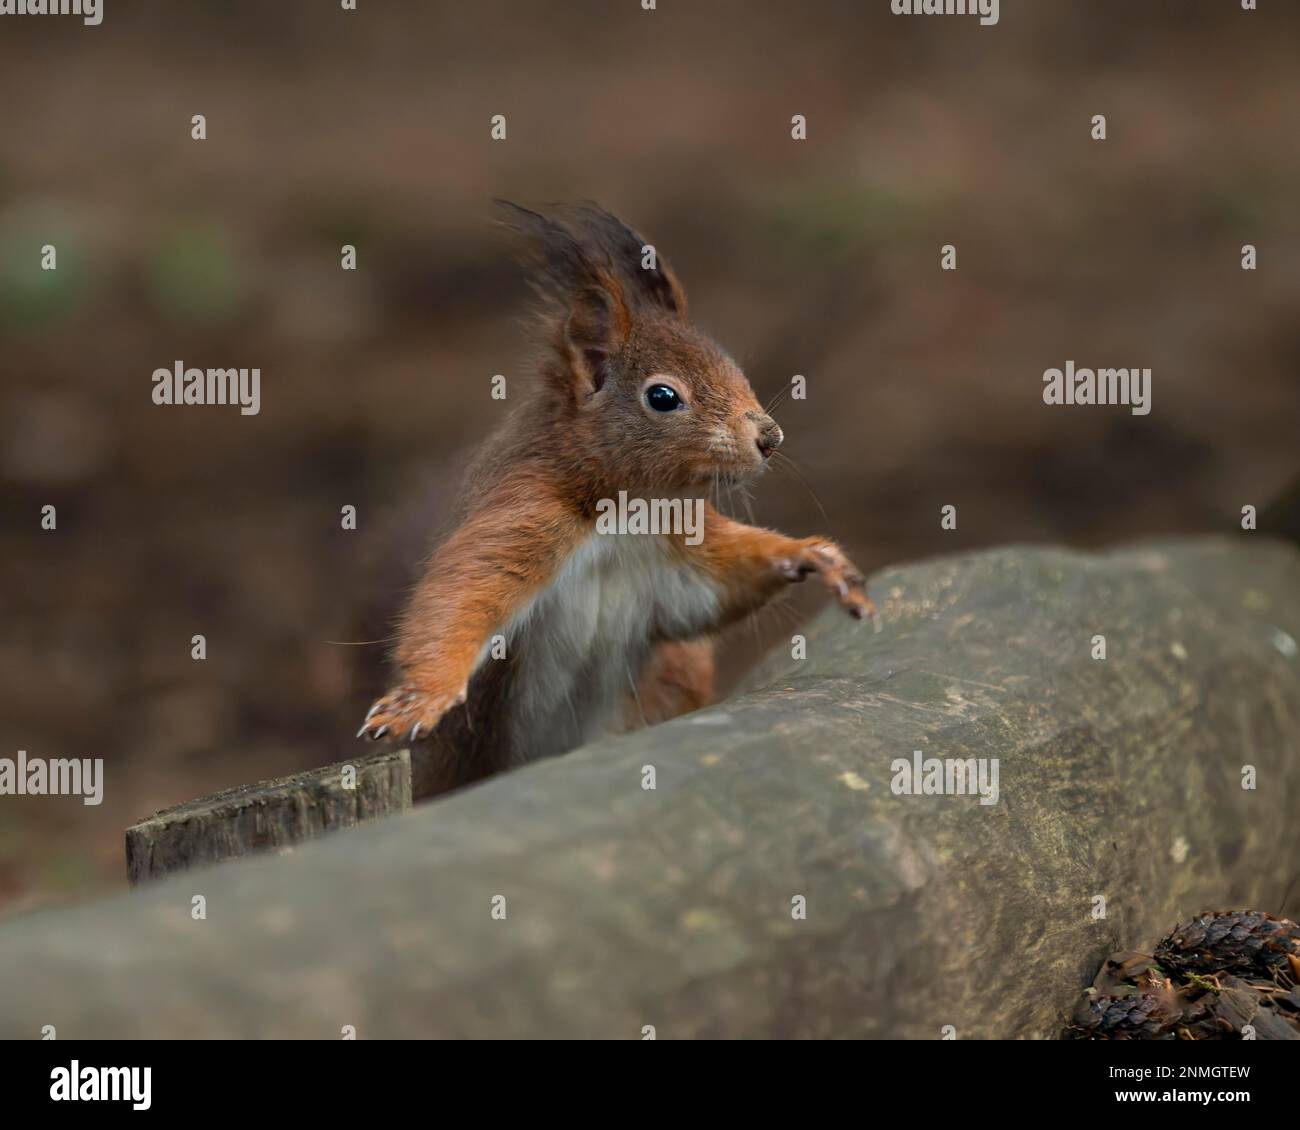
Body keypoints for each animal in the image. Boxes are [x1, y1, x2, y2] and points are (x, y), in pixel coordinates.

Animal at [358, 200, 873, 795]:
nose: (770, 438)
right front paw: (420, 699)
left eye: (734, 369)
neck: (628, 514)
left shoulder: (681, 551)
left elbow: (718, 585)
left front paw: (813, 554)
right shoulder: (524, 514)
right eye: (663, 396)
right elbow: (461, 597)